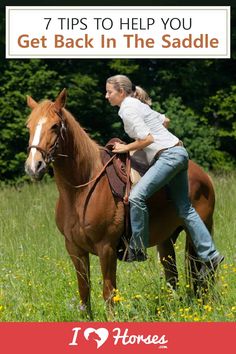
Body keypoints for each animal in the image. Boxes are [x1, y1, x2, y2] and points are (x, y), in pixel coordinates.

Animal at [24, 90, 215, 314]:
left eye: (54, 125)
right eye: (29, 126)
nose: (34, 166)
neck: (80, 190)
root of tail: (203, 176)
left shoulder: (106, 248)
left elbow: (109, 294)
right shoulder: (74, 249)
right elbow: (84, 293)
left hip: (199, 230)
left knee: (205, 270)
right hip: (166, 240)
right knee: (173, 277)